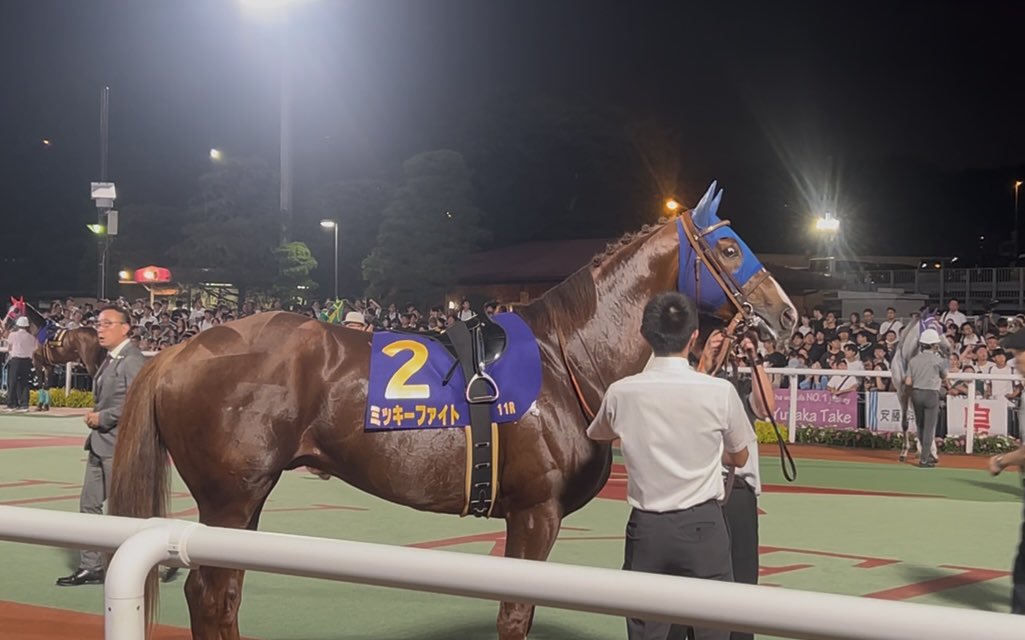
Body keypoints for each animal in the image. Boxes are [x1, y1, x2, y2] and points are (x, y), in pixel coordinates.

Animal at [109, 182, 798, 640]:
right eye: (729, 248)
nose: (787, 314)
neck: (565, 359)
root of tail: (179, 350)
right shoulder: (534, 512)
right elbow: (515, 615)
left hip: (242, 501)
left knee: (220, 592)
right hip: (231, 496)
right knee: (213, 592)